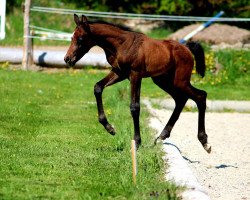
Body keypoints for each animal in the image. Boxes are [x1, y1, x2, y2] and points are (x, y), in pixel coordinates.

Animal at [64, 14, 211, 153]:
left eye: (80, 38)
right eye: (71, 37)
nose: (67, 59)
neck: (121, 45)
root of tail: (186, 48)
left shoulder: (135, 75)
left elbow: (134, 107)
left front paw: (136, 143)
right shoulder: (119, 73)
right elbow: (98, 87)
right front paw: (110, 128)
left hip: (180, 81)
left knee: (200, 96)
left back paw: (205, 142)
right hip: (163, 81)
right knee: (181, 99)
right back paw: (162, 136)